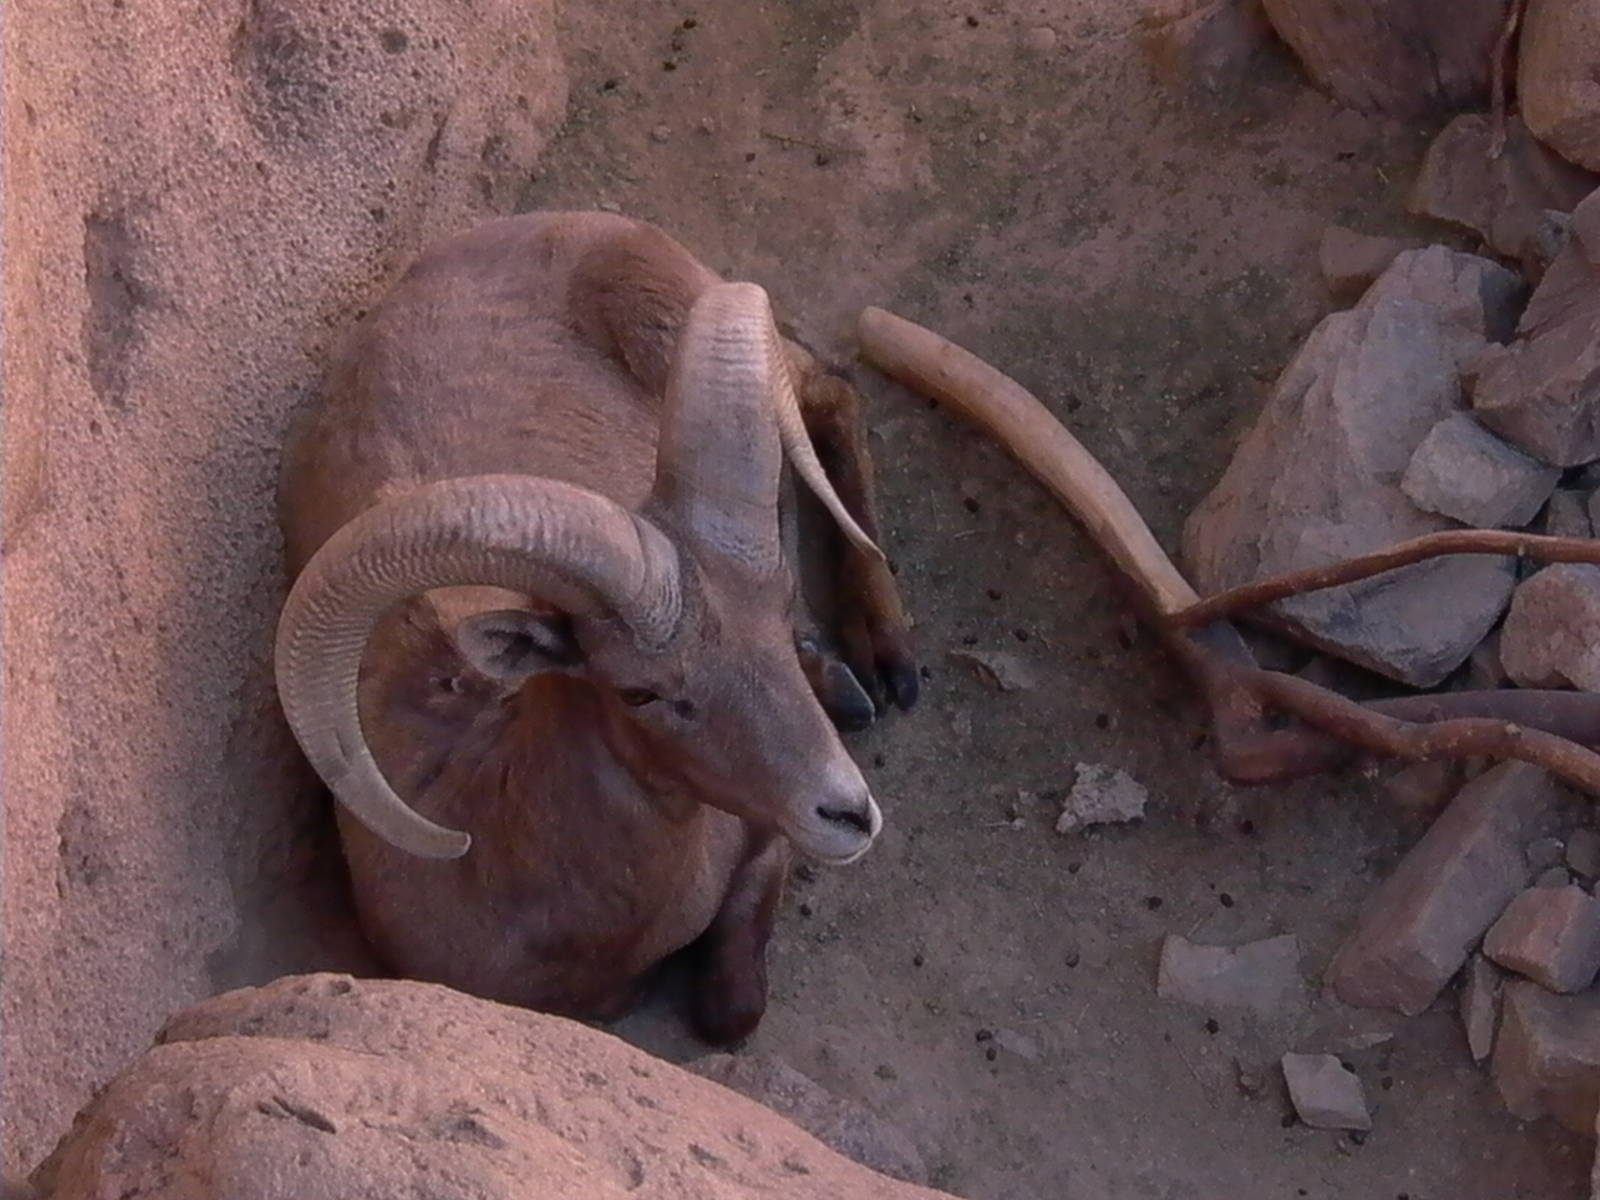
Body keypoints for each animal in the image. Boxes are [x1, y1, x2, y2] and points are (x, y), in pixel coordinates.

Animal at [274, 211, 917, 1043]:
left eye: (776, 619)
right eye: (640, 692)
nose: (847, 814)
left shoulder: (762, 845)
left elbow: (731, 1010)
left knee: (825, 389)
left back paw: (883, 660)